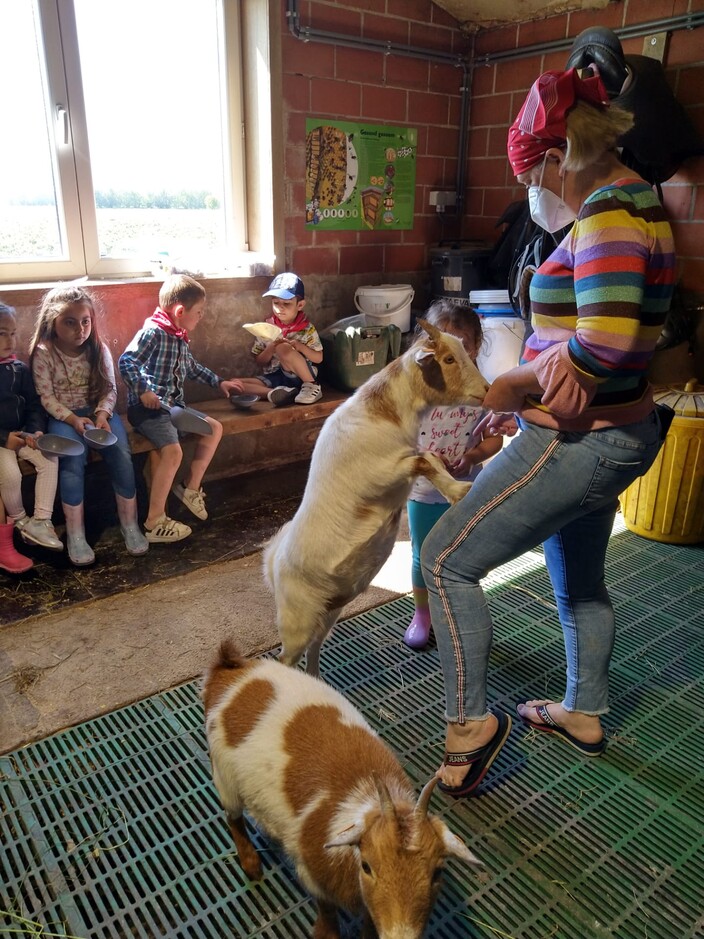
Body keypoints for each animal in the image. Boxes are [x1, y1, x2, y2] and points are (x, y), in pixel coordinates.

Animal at [201, 644, 482, 939]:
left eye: (438, 873)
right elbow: (326, 909)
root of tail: (231, 669)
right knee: (233, 818)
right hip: (224, 775)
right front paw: (325, 933)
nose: (400, 935)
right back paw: (252, 866)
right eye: (366, 866)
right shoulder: (314, 876)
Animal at [264, 322, 490, 676]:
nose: (487, 389)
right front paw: (459, 492)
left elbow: (429, 458)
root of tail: (273, 562)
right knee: (287, 659)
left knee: (314, 647)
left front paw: (455, 486)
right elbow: (423, 460)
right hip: (295, 620)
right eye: (449, 359)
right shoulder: (381, 475)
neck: (384, 413)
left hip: (326, 613)